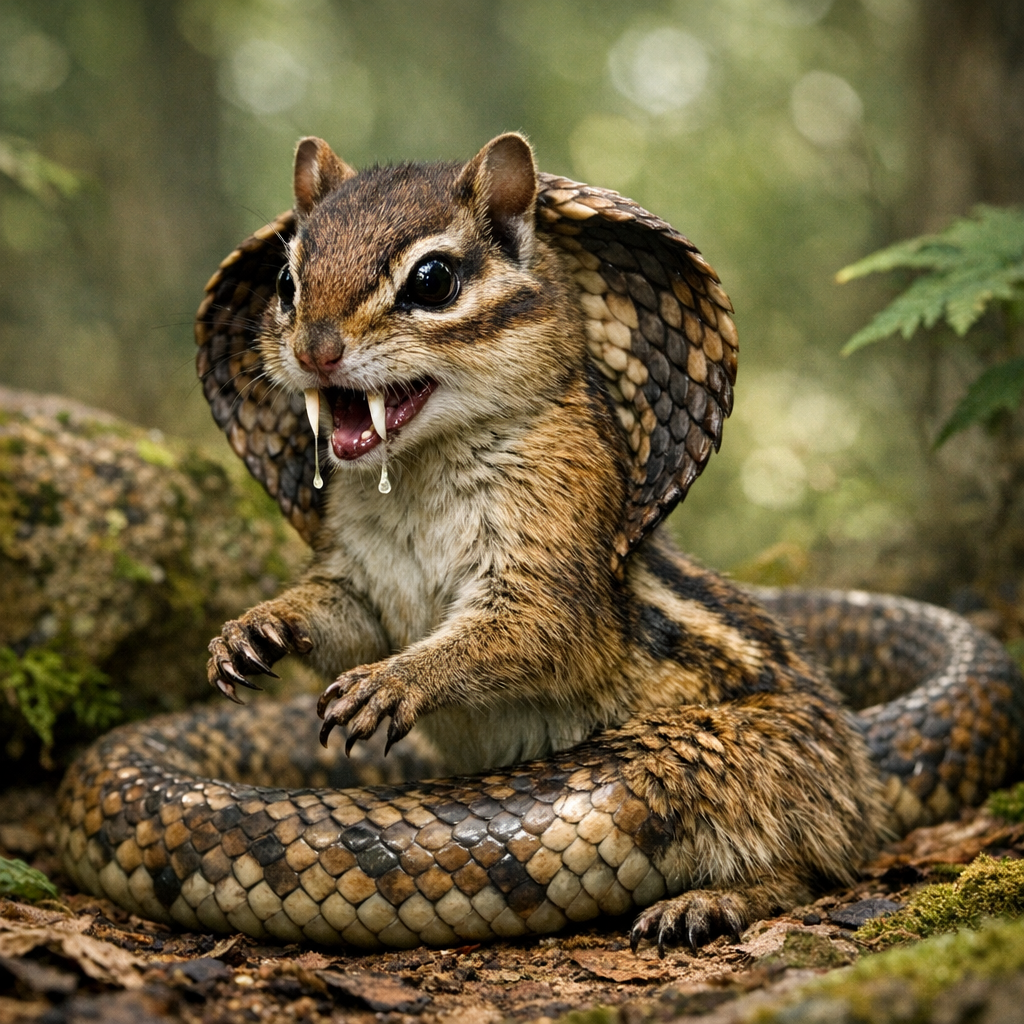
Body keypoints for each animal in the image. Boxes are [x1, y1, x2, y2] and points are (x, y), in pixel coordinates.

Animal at [200, 132, 886, 949]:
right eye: (284, 280)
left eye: (433, 280)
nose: (314, 351)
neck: (417, 471)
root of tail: (856, 780)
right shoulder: (362, 579)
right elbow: (340, 617)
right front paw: (255, 629)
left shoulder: (555, 545)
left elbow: (528, 629)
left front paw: (397, 681)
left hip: (717, 754)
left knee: (806, 866)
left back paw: (709, 902)